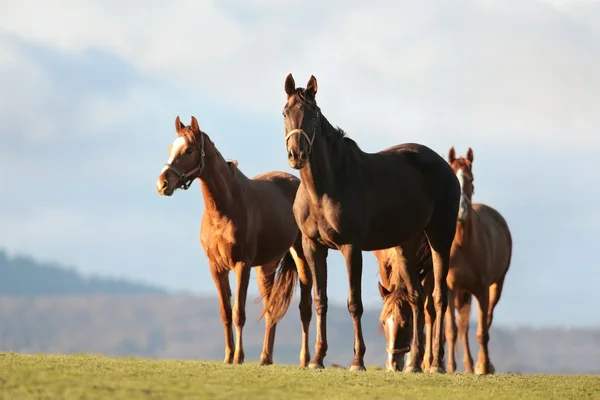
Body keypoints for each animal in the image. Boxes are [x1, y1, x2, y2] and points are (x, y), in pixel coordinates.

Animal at [155, 115, 314, 366]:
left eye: (189, 150)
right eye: (171, 148)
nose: (162, 184)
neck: (225, 209)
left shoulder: (242, 265)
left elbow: (239, 312)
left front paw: (239, 356)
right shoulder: (217, 268)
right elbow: (226, 312)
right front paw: (228, 356)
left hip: (300, 258)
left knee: (305, 307)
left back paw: (305, 359)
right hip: (266, 267)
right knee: (271, 309)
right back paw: (265, 358)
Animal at [270, 74, 462, 372]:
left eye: (313, 113)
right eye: (284, 112)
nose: (296, 155)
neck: (324, 188)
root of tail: (445, 167)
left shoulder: (351, 248)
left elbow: (354, 303)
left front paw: (357, 360)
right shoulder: (313, 247)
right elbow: (320, 300)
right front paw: (317, 359)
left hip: (440, 238)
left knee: (439, 298)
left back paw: (436, 364)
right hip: (405, 247)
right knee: (416, 297)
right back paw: (414, 364)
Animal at [442, 148, 512, 376]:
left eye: (471, 179)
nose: (460, 210)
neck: (464, 245)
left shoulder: (481, 290)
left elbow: (482, 332)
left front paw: (484, 366)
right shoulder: (450, 289)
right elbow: (452, 330)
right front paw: (450, 367)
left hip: (495, 287)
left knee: (485, 321)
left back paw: (480, 365)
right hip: (462, 294)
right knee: (462, 328)